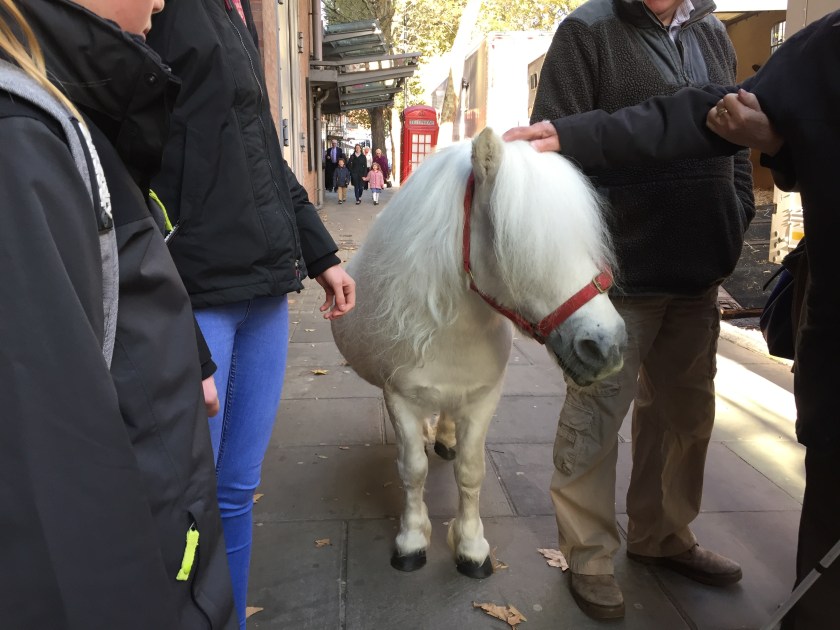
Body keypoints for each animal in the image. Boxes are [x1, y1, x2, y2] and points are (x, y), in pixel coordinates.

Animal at [331, 128, 627, 579]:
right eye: (517, 243)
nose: (605, 346)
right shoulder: (400, 398)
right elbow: (412, 470)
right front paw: (412, 540)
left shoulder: (484, 398)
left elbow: (471, 472)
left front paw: (471, 547)